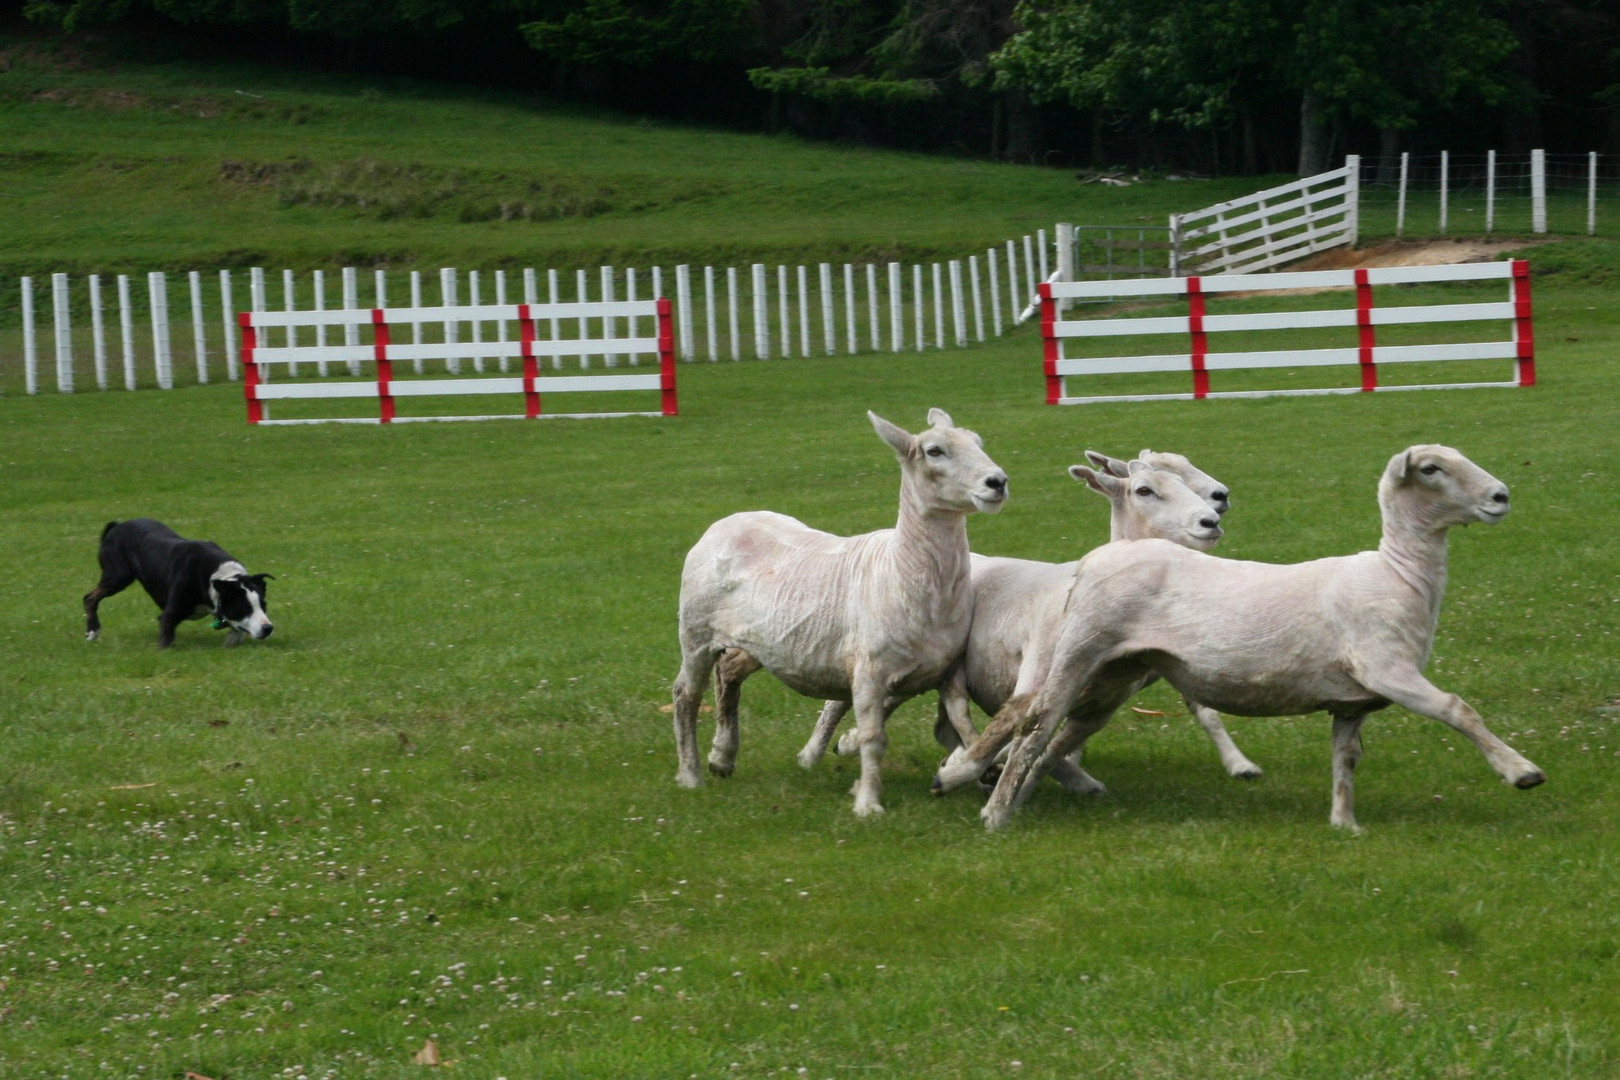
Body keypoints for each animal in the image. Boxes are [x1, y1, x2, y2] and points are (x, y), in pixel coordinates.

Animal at [85, 518, 275, 647]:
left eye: (264, 606)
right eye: (243, 607)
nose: (268, 628)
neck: (215, 576)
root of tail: (116, 527)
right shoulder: (169, 615)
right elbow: (166, 637)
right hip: (117, 576)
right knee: (90, 598)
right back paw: (92, 631)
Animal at [667, 409, 997, 816]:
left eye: (978, 442)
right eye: (934, 451)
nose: (998, 482)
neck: (901, 567)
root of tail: (723, 523)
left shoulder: (947, 670)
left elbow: (966, 726)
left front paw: (978, 769)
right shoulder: (870, 671)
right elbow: (873, 738)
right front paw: (869, 803)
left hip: (766, 640)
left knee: (728, 671)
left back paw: (723, 758)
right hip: (695, 632)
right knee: (685, 695)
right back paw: (691, 774)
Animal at [946, 443, 1548, 835]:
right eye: (1431, 468)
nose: (1501, 496)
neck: (1398, 574)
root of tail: (1101, 556)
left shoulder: (1352, 701)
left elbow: (1346, 759)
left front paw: (1344, 824)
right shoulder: (1388, 670)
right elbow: (1458, 709)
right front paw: (1520, 771)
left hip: (1115, 672)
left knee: (1053, 737)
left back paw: (1017, 794)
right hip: (1077, 650)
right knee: (1033, 725)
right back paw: (994, 811)